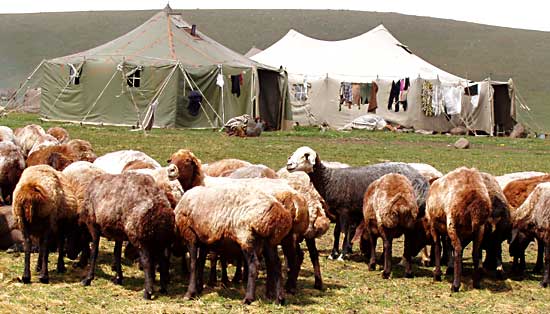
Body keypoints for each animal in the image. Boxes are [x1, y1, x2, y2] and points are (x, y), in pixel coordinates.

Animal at [79, 172, 175, 300]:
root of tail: (160, 206)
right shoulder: (118, 233)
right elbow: (117, 253)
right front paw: (118, 278)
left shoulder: (93, 225)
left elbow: (94, 252)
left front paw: (88, 279)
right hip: (162, 239)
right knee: (163, 260)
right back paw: (163, 288)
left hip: (140, 237)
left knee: (147, 262)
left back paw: (148, 292)